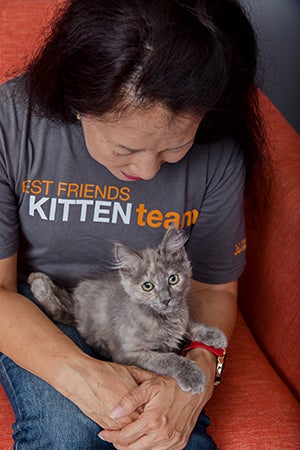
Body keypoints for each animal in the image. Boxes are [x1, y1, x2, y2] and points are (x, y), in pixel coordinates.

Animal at [29, 229, 227, 394]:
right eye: (148, 286)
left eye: (173, 279)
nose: (165, 299)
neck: (164, 318)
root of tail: (77, 299)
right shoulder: (130, 353)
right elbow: (167, 359)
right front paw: (191, 375)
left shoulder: (181, 319)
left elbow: (190, 325)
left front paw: (214, 335)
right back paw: (37, 280)